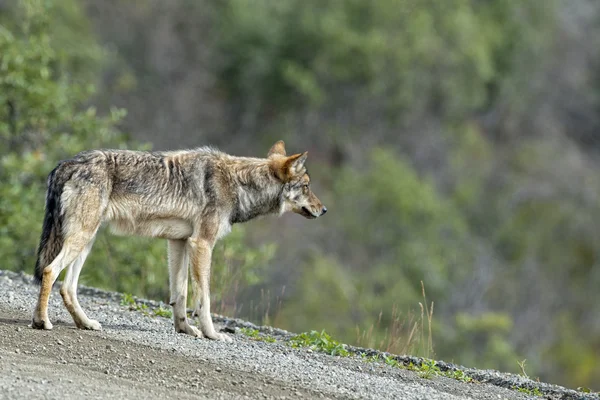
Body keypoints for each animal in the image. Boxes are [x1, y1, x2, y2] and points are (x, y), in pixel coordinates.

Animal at [30, 141, 326, 340]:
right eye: (307, 186)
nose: (324, 210)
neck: (238, 183)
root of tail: (67, 163)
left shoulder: (179, 242)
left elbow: (180, 294)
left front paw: (184, 328)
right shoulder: (202, 243)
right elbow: (204, 298)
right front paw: (212, 334)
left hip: (86, 241)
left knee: (67, 287)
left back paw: (85, 323)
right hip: (81, 238)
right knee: (50, 271)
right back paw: (41, 321)